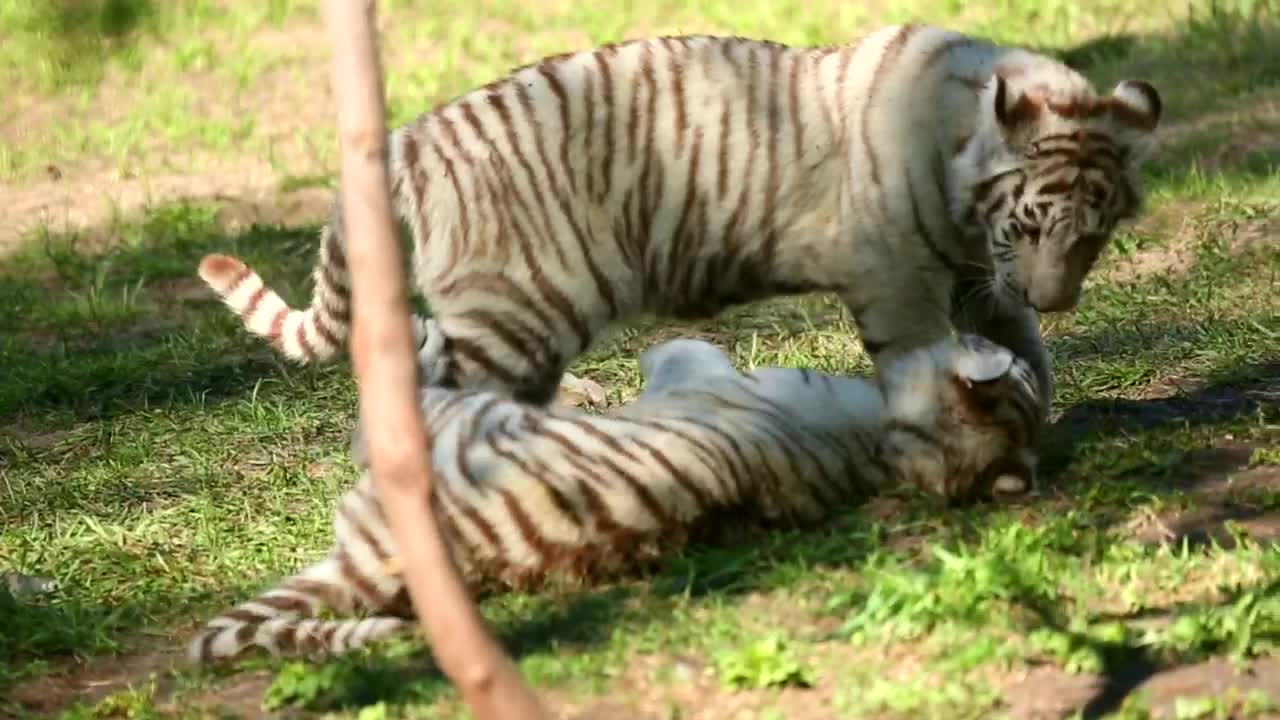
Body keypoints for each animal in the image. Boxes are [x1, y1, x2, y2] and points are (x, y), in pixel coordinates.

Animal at [197, 23, 1162, 493]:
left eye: (1093, 234)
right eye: (1030, 227)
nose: (1063, 296)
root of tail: (406, 139)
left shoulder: (978, 275)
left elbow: (1024, 345)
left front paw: (1039, 406)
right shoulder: (899, 279)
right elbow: (923, 361)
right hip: (518, 306)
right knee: (436, 393)